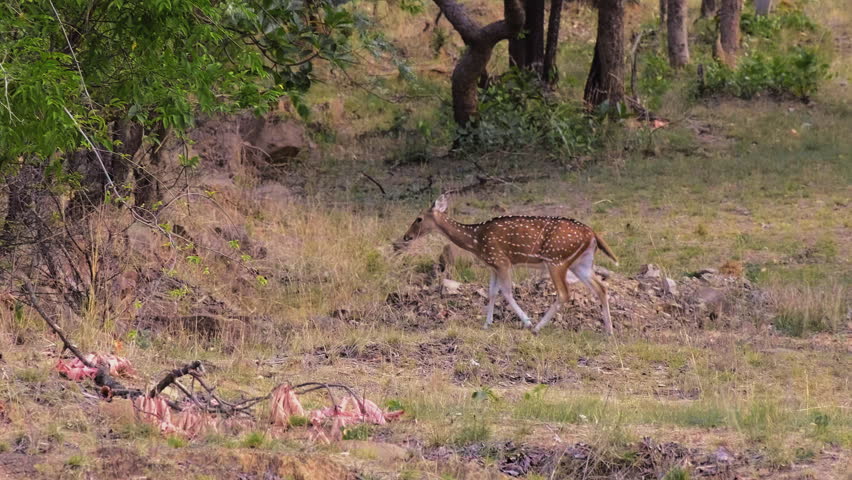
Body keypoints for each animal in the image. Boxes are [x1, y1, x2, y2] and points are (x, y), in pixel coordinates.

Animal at [392, 193, 620, 336]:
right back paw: (609, 331)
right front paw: (487, 323)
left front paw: (526, 321)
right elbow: (492, 292)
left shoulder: (502, 261)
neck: (476, 240)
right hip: (581, 263)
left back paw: (537, 328)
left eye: (419, 218)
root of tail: (593, 234)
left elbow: (507, 291)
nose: (405, 236)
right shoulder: (492, 265)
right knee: (601, 287)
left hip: (556, 260)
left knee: (565, 293)